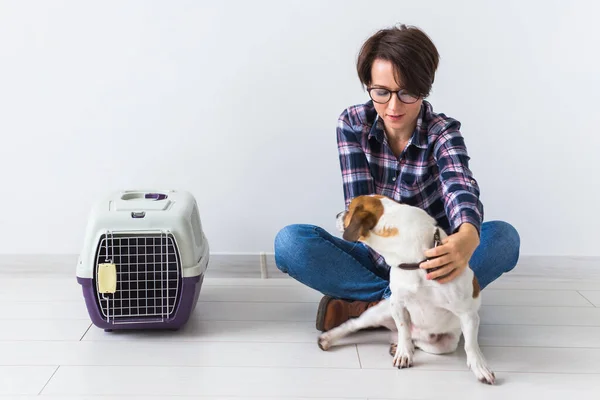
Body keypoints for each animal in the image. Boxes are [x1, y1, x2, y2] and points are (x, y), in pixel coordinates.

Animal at [316, 194, 494, 384]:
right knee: (354, 324)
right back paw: (329, 338)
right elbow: (403, 330)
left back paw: (401, 346)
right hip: (380, 312)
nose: (336, 214)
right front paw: (403, 353)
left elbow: (471, 345)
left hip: (445, 343)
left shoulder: (467, 314)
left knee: (420, 342)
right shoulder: (397, 303)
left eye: (348, 210)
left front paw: (480, 368)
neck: (415, 260)